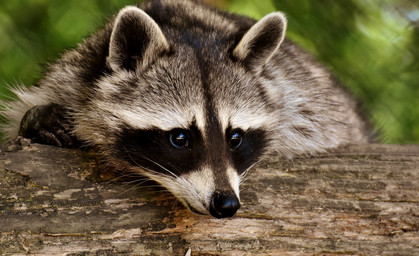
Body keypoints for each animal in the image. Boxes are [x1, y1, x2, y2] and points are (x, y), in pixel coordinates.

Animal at [0, 0, 370, 218]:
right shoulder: (71, 75)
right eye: (180, 138)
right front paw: (38, 120)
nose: (226, 205)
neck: (186, 28)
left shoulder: (302, 98)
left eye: (235, 137)